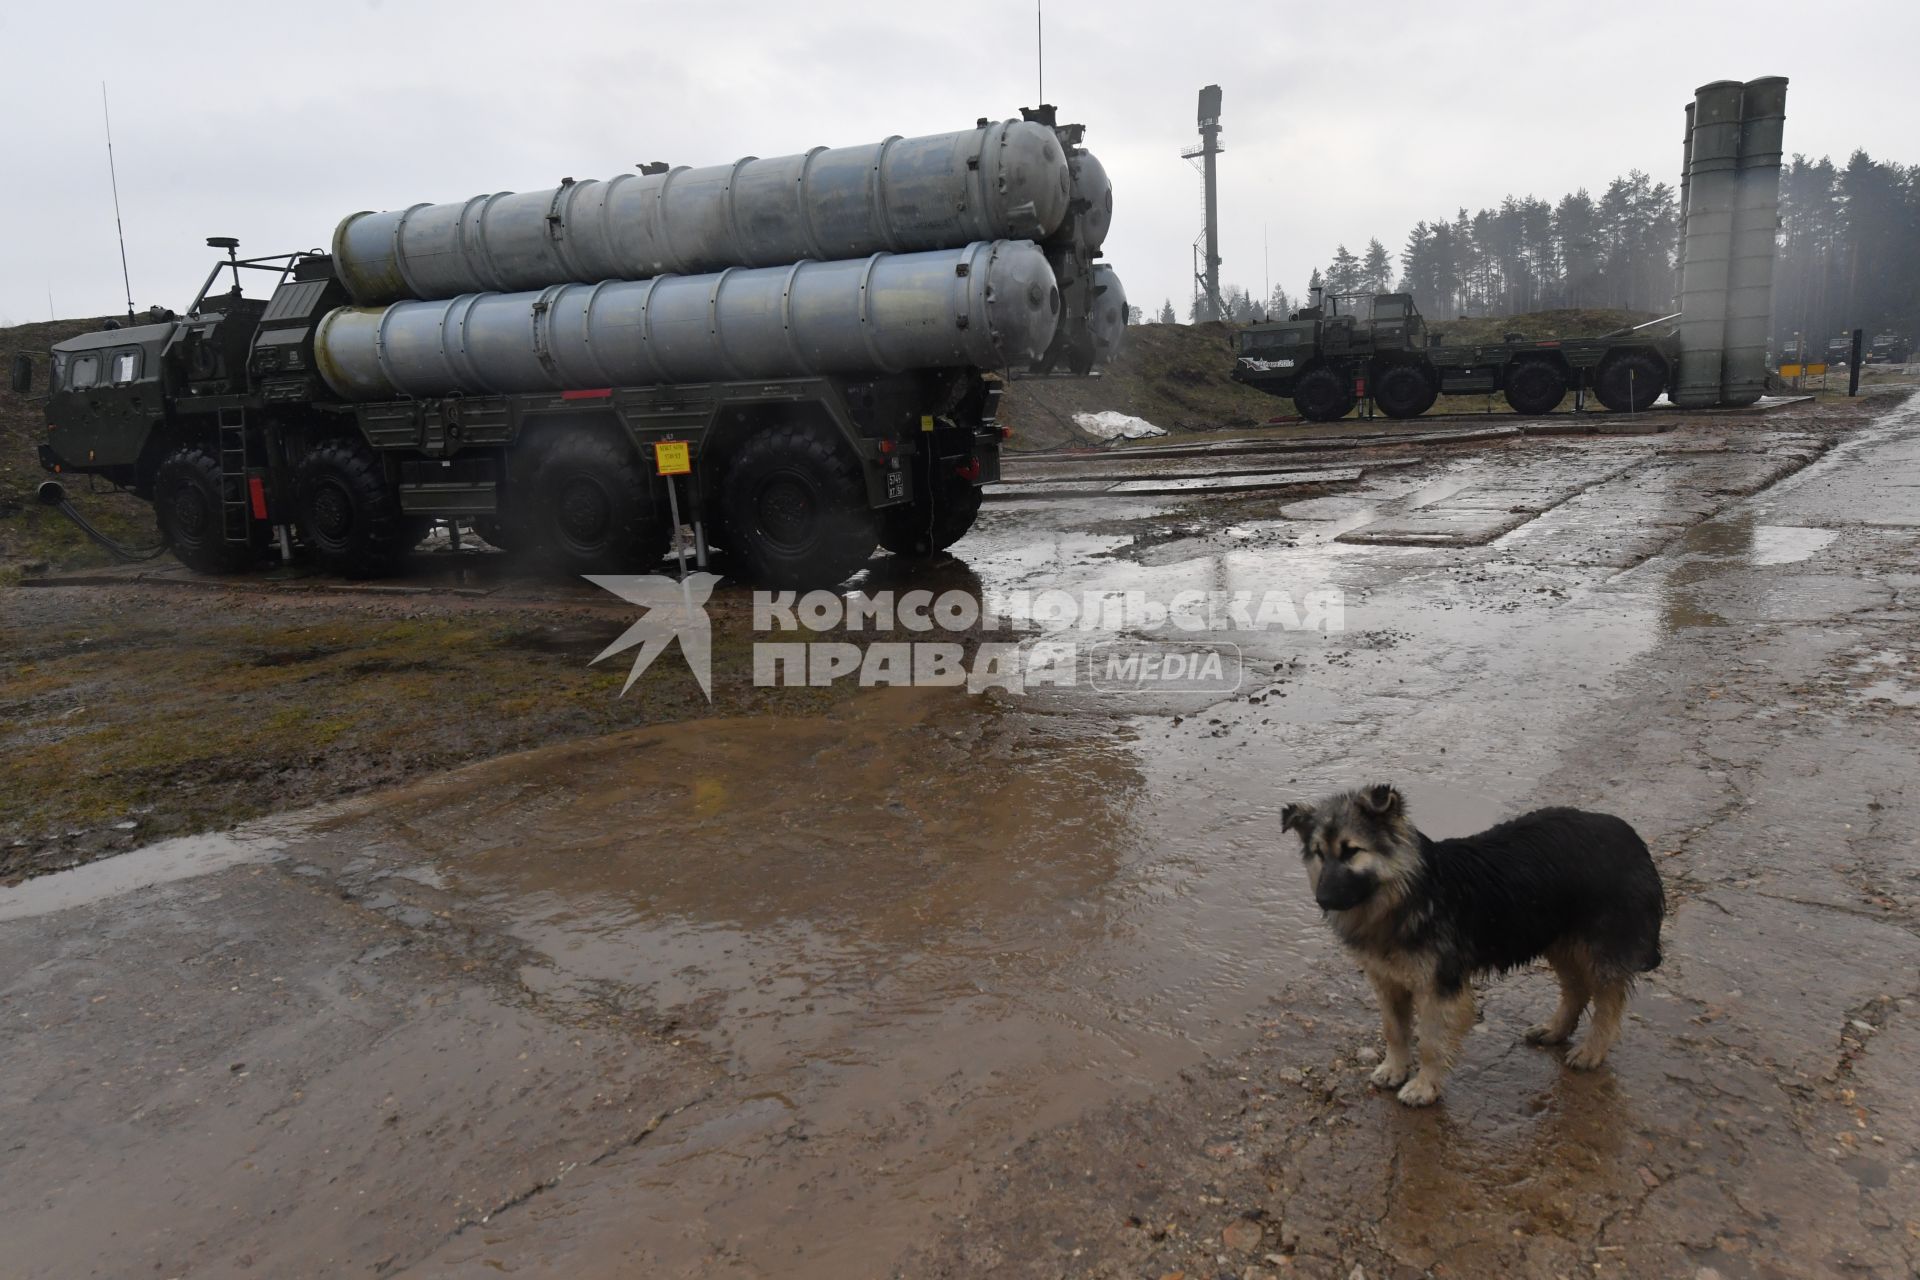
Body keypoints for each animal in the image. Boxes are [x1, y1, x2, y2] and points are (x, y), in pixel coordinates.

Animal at [1290, 786, 1666, 1105]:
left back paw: (1592, 1051)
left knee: (1608, 1003)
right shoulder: (1387, 981)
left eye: (1351, 851)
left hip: (1600, 948)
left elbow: (1430, 1042)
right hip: (1558, 940)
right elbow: (1394, 1030)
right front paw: (1395, 1069)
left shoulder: (1438, 987)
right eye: (1319, 854)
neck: (1407, 896)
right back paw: (1555, 1030)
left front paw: (1424, 1086)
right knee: (1576, 989)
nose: (1323, 900)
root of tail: (1630, 837)